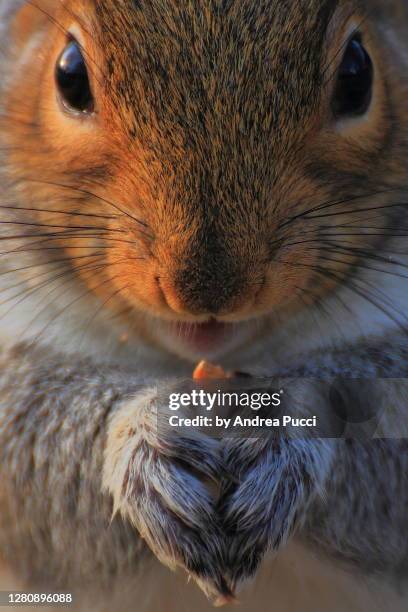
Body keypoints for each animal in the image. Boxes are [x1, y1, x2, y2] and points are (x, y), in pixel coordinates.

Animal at [0, 1, 408, 612]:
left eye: (358, 75)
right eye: (68, 75)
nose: (207, 291)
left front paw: (279, 423)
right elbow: (24, 437)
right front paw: (146, 438)